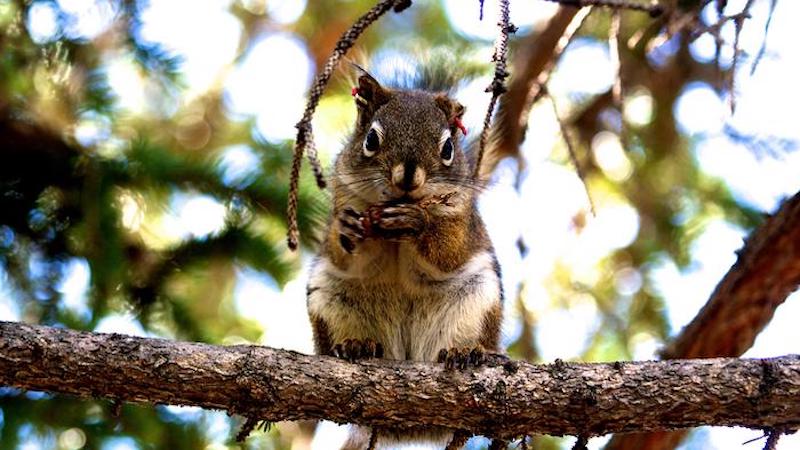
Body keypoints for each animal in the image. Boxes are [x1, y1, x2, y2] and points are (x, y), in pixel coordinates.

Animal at [308, 66, 506, 450]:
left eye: (448, 148)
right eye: (371, 139)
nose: (408, 177)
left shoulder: (462, 219)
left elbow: (448, 252)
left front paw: (418, 222)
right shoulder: (346, 196)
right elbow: (348, 255)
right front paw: (347, 229)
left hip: (477, 300)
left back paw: (465, 352)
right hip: (328, 300)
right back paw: (356, 346)